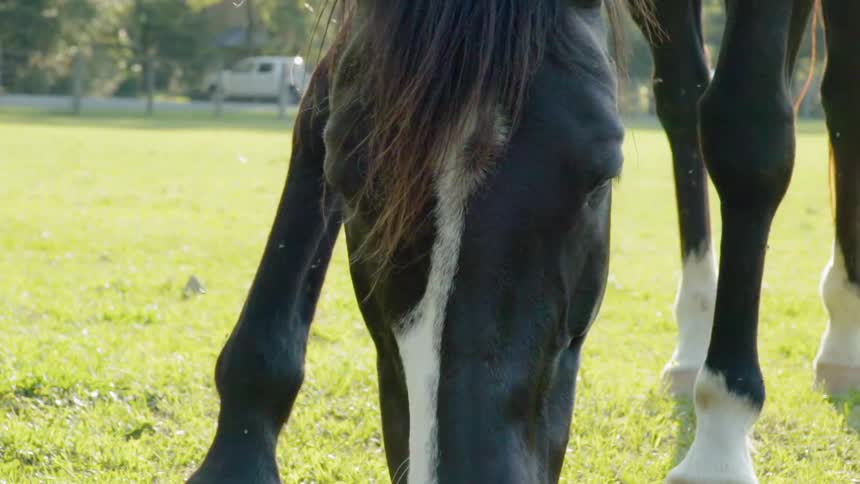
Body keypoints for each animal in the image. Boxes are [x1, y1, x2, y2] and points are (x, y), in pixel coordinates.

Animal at [189, 1, 860, 482]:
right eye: (345, 178)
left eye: (600, 177)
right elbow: (318, 103)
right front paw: (238, 449)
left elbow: (747, 132)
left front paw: (719, 447)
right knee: (682, 96)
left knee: (831, 96)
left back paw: (842, 333)